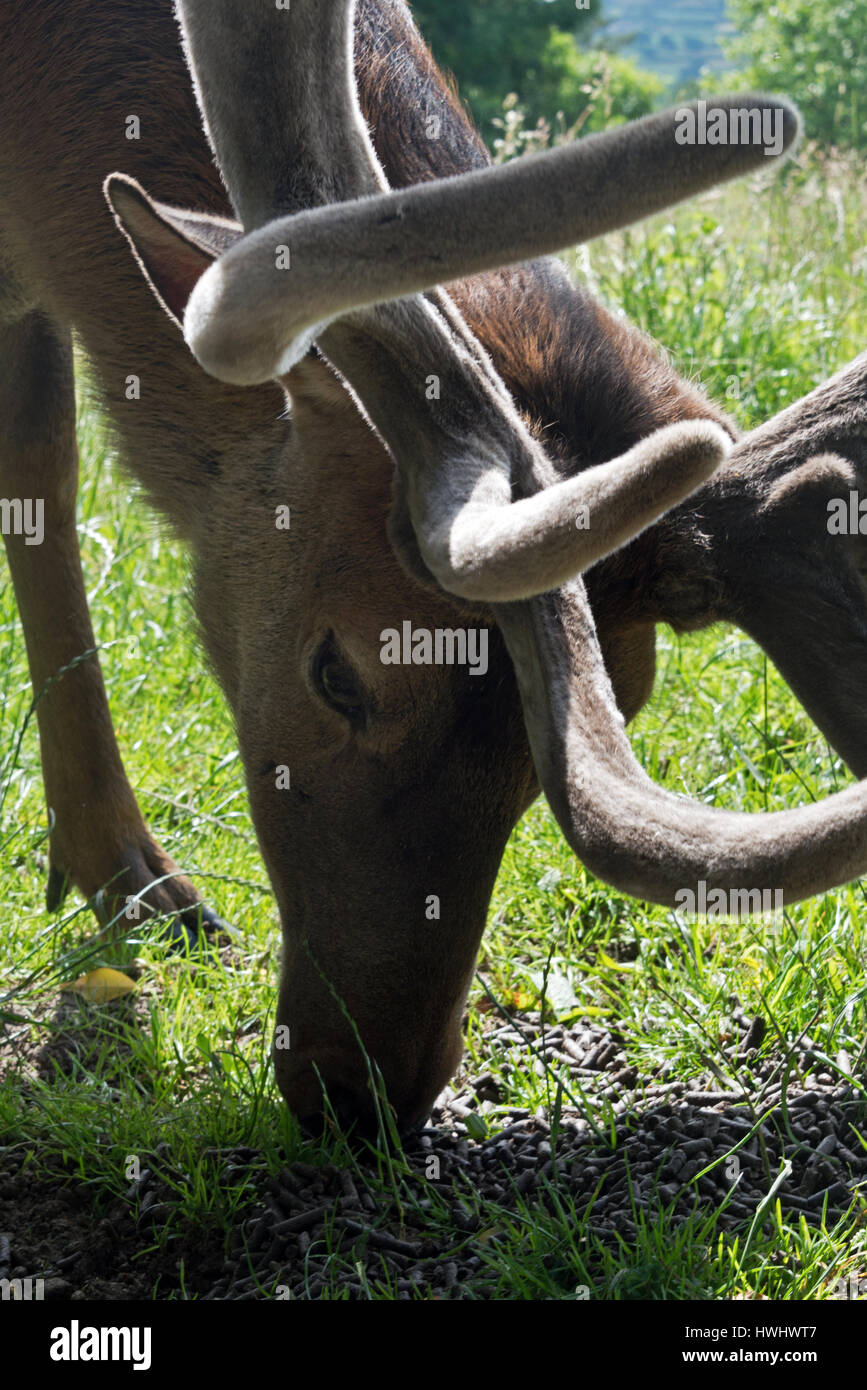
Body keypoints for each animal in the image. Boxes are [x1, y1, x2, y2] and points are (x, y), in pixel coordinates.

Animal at [1, 0, 867, 1134]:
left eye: (624, 703)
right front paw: (130, 882)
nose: (365, 1091)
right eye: (339, 671)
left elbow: (35, 466)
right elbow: (40, 465)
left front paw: (129, 882)